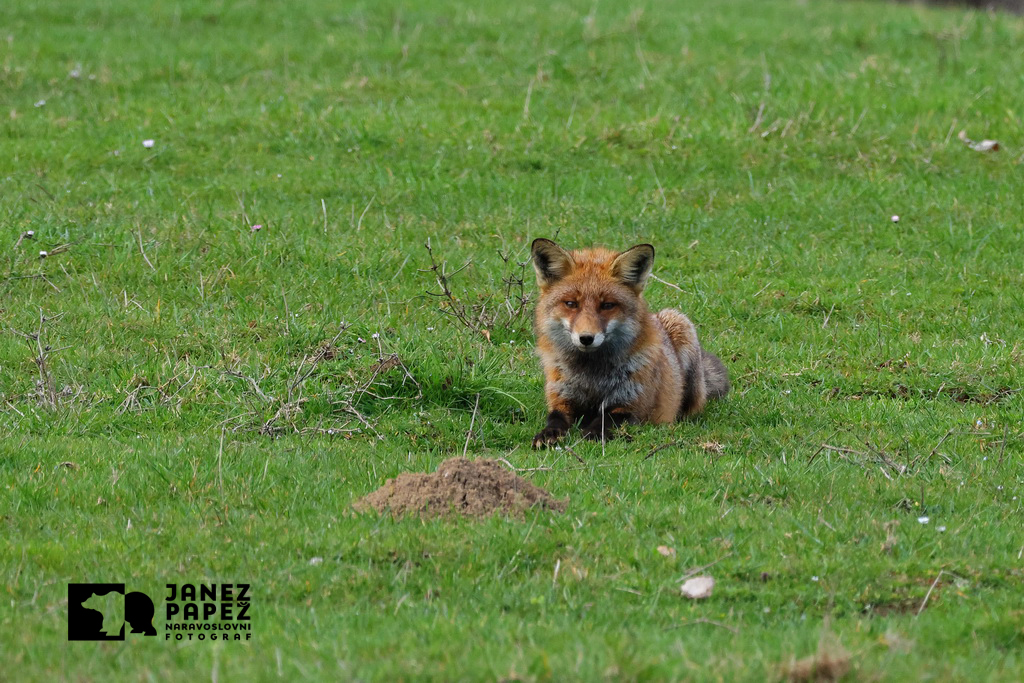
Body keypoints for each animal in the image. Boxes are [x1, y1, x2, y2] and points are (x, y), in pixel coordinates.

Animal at [528, 240, 729, 448]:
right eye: (571, 304)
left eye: (607, 305)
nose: (586, 338)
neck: (591, 376)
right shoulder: (561, 399)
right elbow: (555, 419)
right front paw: (548, 434)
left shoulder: (631, 405)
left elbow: (604, 422)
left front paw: (591, 434)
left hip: (681, 328)